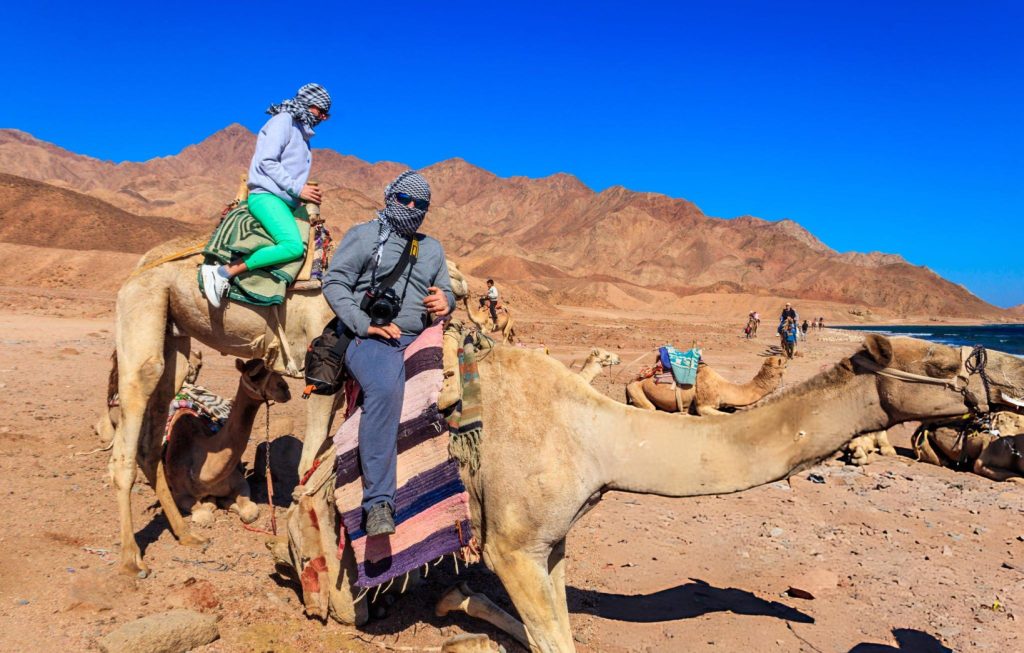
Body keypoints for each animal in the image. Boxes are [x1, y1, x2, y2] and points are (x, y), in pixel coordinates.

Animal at [154, 358, 291, 537]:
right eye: (254, 375)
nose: (285, 388)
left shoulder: (240, 482)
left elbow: (249, 512)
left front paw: (225, 502)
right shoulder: (179, 493)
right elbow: (204, 515)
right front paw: (214, 503)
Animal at [626, 355, 787, 416]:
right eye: (784, 363)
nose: (787, 355)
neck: (723, 387)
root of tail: (629, 381)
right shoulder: (704, 405)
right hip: (636, 389)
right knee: (648, 408)